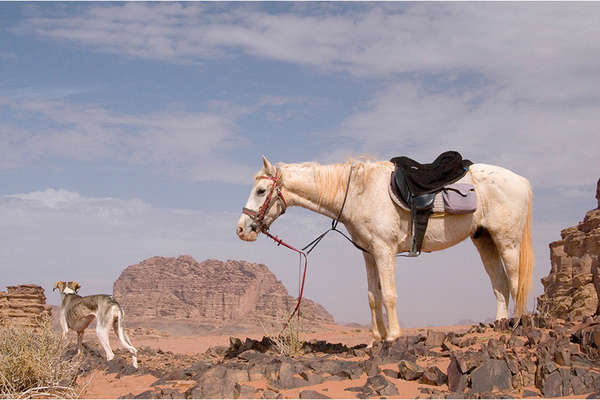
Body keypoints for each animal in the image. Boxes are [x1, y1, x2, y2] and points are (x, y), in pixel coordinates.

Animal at [237, 156, 532, 340]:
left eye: (261, 190)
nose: (241, 229)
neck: (358, 193)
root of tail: (522, 182)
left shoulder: (384, 250)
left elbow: (389, 294)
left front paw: (392, 337)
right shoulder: (368, 253)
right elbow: (373, 296)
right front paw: (375, 339)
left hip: (507, 240)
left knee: (515, 280)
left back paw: (516, 325)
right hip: (484, 239)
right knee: (500, 283)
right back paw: (499, 325)